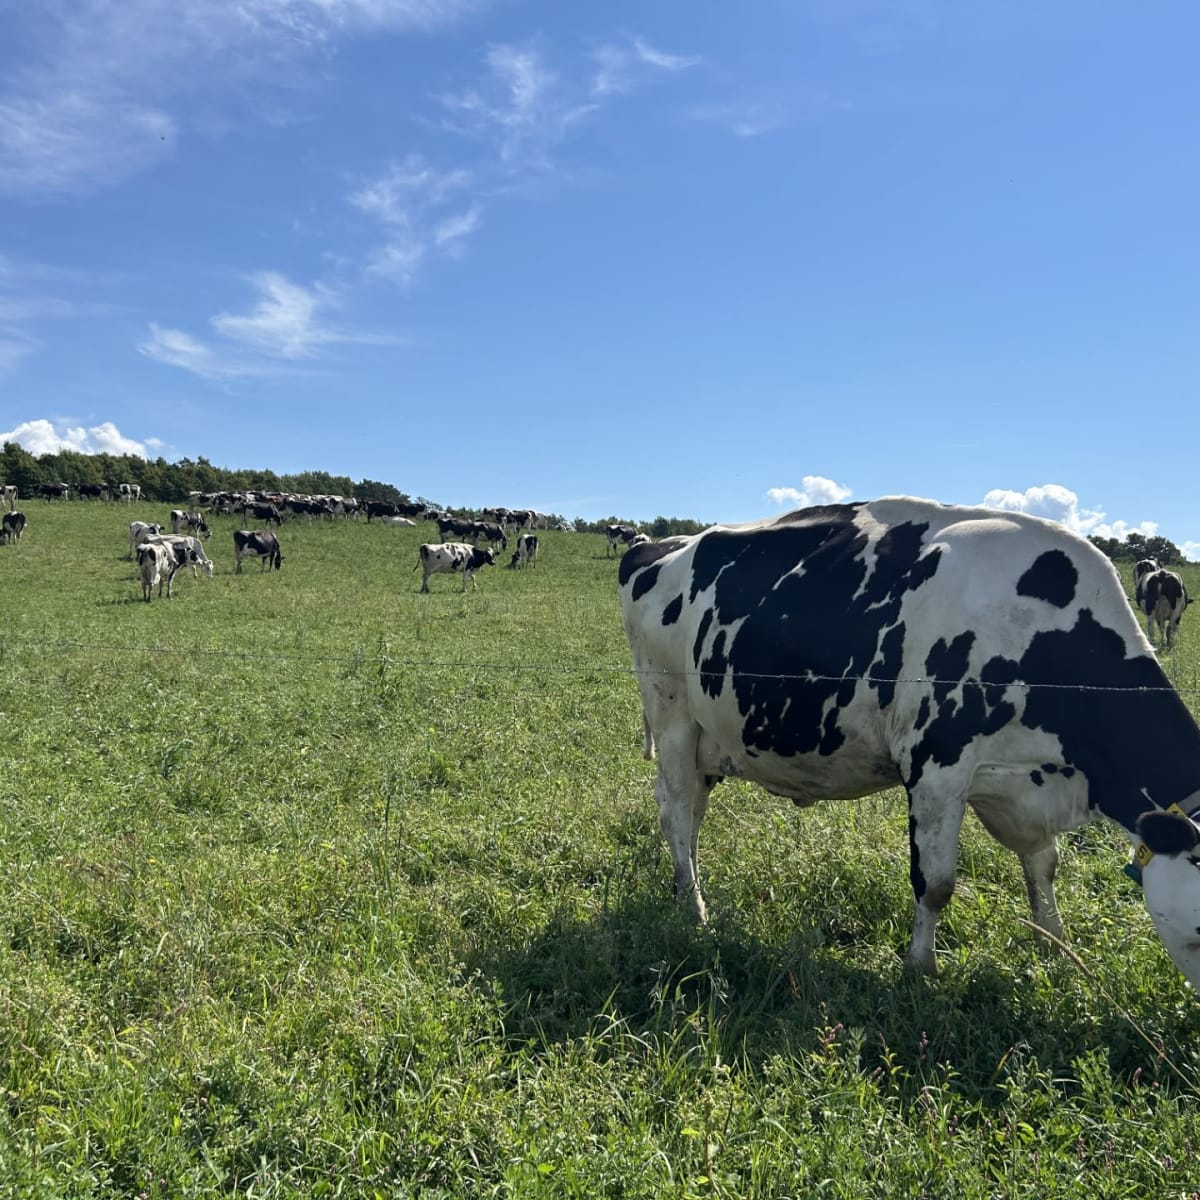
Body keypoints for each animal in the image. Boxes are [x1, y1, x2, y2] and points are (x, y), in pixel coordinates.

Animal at [619, 497, 1200, 993]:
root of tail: (662, 546)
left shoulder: (1022, 783)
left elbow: (1043, 867)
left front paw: (1056, 948)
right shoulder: (937, 770)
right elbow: (936, 882)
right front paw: (921, 969)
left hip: (708, 742)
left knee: (686, 813)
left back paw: (685, 887)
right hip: (672, 716)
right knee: (676, 813)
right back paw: (695, 911)